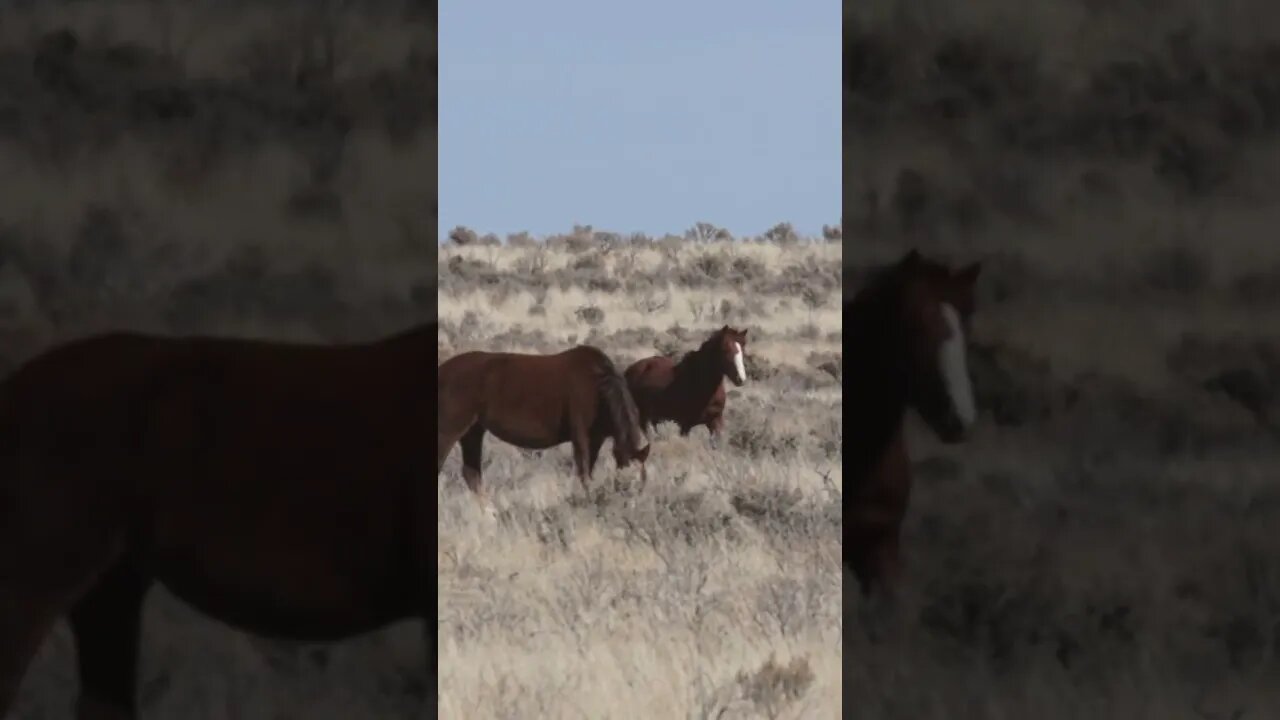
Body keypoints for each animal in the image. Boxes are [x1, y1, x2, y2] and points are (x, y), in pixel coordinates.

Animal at [435, 343, 650, 507]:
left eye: (642, 483)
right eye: (627, 482)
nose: (632, 505)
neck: (598, 386)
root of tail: (442, 370)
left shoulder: (596, 439)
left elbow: (588, 472)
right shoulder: (581, 437)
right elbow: (583, 474)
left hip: (472, 431)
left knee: (472, 475)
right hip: (448, 431)